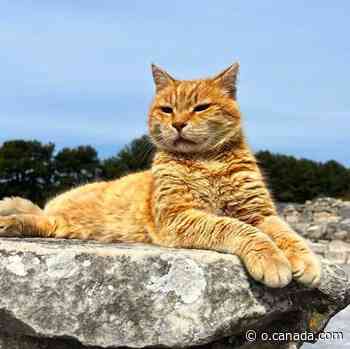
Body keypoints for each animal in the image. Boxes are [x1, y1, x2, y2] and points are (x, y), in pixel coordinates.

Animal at [0, 61, 320, 286]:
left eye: (201, 108)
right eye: (167, 109)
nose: (178, 123)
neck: (207, 161)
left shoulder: (260, 213)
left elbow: (288, 235)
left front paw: (306, 261)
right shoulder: (178, 215)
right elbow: (239, 229)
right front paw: (271, 259)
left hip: (59, 225)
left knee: (38, 219)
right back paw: (7, 219)